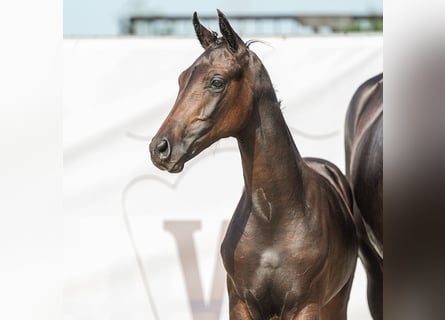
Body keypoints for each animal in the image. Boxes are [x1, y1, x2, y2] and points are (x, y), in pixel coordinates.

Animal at [149, 10, 358, 320]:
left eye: (216, 81)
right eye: (181, 79)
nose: (160, 148)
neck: (274, 218)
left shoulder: (306, 306)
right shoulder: (241, 303)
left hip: (336, 304)